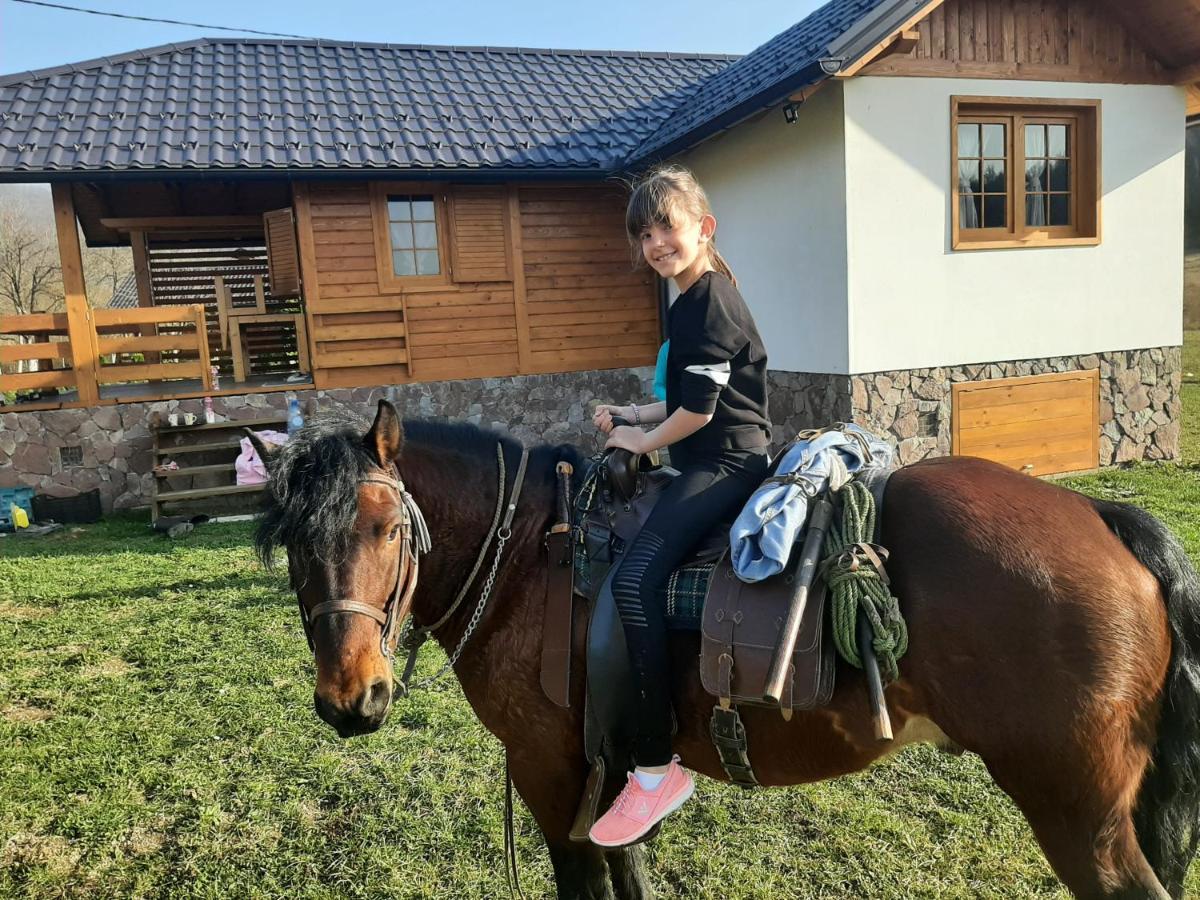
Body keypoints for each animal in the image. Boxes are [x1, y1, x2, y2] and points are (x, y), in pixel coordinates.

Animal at [253, 403, 1200, 900]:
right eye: (294, 544)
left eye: (386, 530)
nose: (350, 700)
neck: (529, 559)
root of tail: (1103, 518)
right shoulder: (604, 766)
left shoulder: (548, 770)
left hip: (1076, 809)